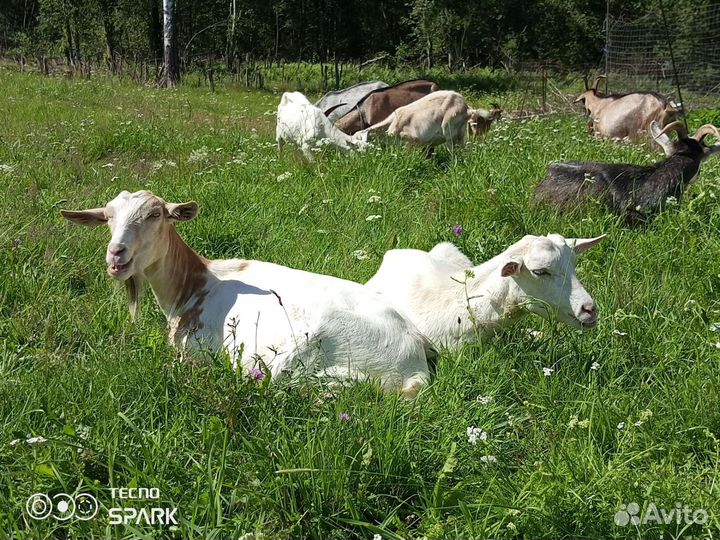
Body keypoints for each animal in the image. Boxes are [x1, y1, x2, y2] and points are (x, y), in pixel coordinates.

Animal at [61, 190, 436, 397]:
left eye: (155, 214)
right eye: (108, 217)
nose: (117, 255)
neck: (196, 283)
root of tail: (414, 364)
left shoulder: (191, 348)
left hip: (301, 356)